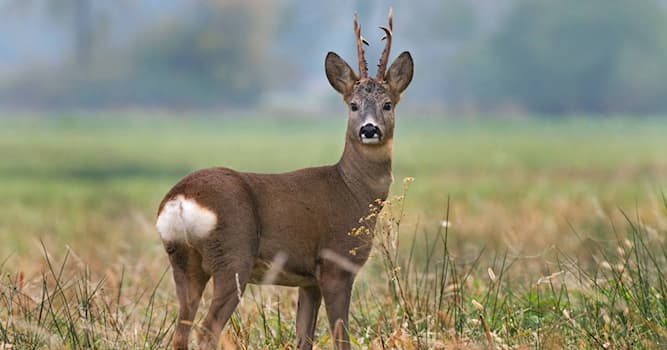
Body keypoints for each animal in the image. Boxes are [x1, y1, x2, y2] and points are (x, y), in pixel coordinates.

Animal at [158, 8, 412, 350]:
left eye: (388, 104)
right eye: (353, 105)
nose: (369, 129)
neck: (352, 190)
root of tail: (182, 199)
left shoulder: (309, 281)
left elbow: (303, 337)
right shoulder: (335, 264)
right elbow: (341, 336)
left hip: (184, 263)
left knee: (180, 332)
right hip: (232, 256)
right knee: (207, 330)